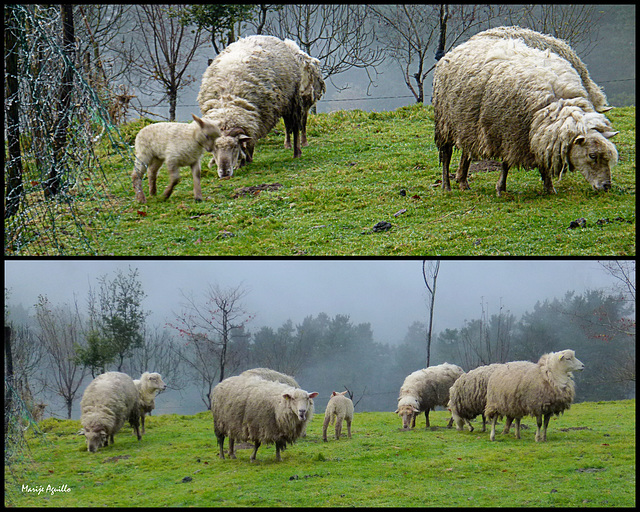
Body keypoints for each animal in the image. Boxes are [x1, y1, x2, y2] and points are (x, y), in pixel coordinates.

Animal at [196, 35, 304, 179]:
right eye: (214, 149)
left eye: (234, 147)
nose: (224, 173)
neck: (227, 105)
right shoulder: (250, 120)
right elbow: (247, 143)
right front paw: (245, 161)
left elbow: (246, 144)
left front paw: (241, 162)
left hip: (293, 99)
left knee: (295, 126)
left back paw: (297, 153)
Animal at [432, 28, 616, 196]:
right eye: (592, 155)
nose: (607, 186)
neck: (555, 105)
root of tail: (458, 47)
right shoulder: (510, 133)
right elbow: (506, 163)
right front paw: (501, 189)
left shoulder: (536, 134)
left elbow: (542, 161)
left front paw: (549, 188)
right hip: (445, 122)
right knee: (446, 154)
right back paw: (446, 186)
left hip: (467, 121)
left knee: (467, 150)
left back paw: (463, 182)